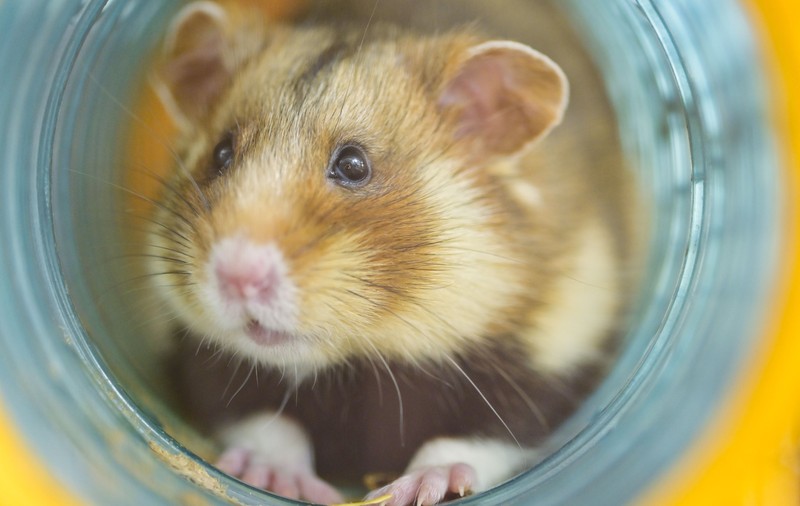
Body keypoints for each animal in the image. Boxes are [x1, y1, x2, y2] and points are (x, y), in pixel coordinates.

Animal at [147, 2, 637, 505]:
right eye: (221, 154)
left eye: (353, 165)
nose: (236, 276)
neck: (360, 359)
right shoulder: (203, 364)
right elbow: (261, 417)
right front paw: (279, 479)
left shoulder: (554, 356)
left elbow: (479, 436)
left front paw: (422, 487)